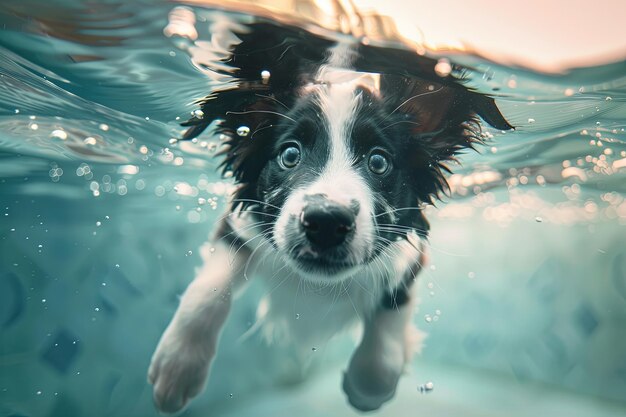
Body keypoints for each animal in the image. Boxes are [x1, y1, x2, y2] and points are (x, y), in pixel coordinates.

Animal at [147, 20, 512, 412]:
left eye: (379, 161)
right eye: (290, 155)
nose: (325, 222)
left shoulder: (411, 251)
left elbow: (390, 319)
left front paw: (368, 383)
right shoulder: (240, 224)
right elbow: (209, 289)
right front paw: (177, 364)